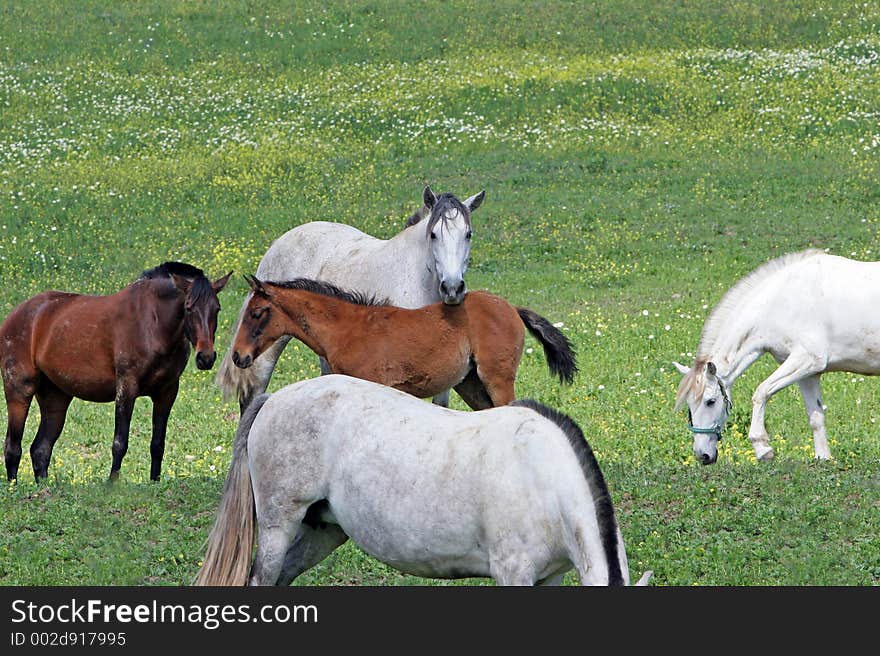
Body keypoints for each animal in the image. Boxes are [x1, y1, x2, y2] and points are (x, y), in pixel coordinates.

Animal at [0, 262, 232, 482]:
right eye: (189, 307)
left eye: (217, 308)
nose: (206, 357)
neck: (152, 323)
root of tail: (15, 315)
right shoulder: (126, 388)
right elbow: (120, 443)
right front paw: (112, 483)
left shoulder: (166, 393)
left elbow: (158, 444)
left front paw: (155, 481)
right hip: (19, 392)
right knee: (13, 446)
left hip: (55, 398)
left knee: (41, 449)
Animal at [198, 376, 652, 588]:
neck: (541, 476)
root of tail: (272, 399)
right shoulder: (512, 573)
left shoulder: (550, 576)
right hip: (278, 525)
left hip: (323, 530)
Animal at [223, 272, 576, 408]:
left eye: (257, 313)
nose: (239, 356)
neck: (346, 330)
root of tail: (512, 308)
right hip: (470, 383)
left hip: (497, 378)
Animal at [676, 249, 880, 464]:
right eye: (689, 404)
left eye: (710, 401)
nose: (702, 455)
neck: (780, 303)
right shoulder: (808, 374)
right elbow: (815, 417)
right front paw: (823, 457)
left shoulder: (807, 359)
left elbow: (761, 392)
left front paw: (762, 447)